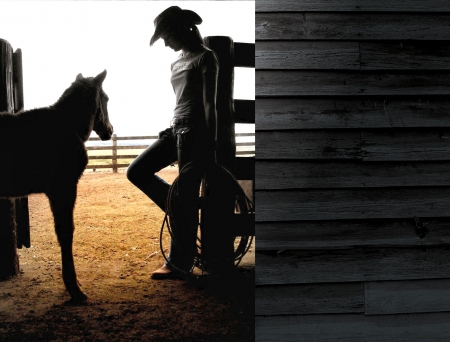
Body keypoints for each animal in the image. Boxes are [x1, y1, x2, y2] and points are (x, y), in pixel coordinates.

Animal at [0, 70, 112, 302]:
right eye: (106, 99)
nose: (110, 131)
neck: (67, 126)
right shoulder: (63, 189)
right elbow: (65, 232)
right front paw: (75, 289)